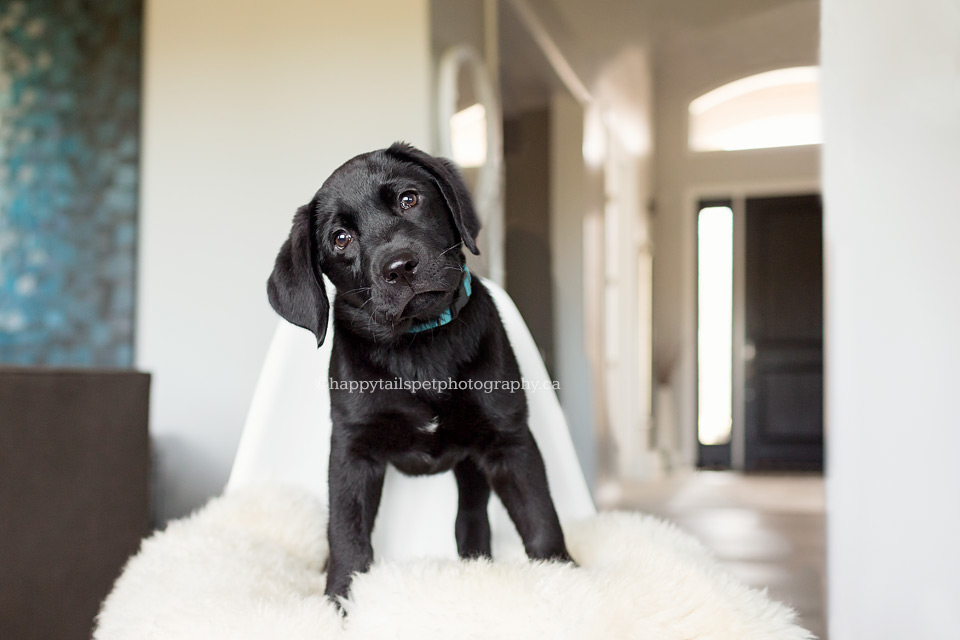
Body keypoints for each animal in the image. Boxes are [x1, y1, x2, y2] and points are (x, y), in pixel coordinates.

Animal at [266, 142, 572, 604]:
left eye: (409, 199)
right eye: (340, 239)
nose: (399, 266)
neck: (419, 344)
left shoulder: (510, 438)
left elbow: (540, 519)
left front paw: (568, 578)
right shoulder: (352, 450)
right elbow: (347, 534)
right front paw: (338, 601)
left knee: (471, 514)